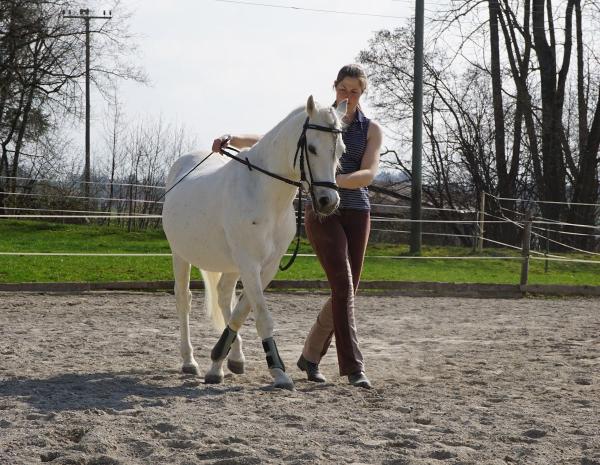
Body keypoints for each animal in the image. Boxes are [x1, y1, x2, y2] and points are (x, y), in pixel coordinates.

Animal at [162, 96, 346, 390]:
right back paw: (189, 361)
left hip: (230, 264)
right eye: (312, 147)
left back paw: (234, 358)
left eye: (340, 149)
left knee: (224, 296)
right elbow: (261, 316)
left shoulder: (265, 267)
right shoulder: (249, 264)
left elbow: (242, 311)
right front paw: (278, 371)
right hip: (180, 255)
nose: (328, 201)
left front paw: (220, 362)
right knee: (184, 300)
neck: (264, 193)